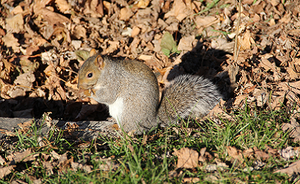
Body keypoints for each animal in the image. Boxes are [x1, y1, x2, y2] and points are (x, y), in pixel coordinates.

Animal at [77, 50, 223, 134]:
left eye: (90, 75)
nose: (78, 85)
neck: (107, 72)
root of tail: (152, 121)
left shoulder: (114, 83)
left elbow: (108, 96)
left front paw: (87, 92)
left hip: (127, 114)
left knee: (130, 130)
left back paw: (118, 129)